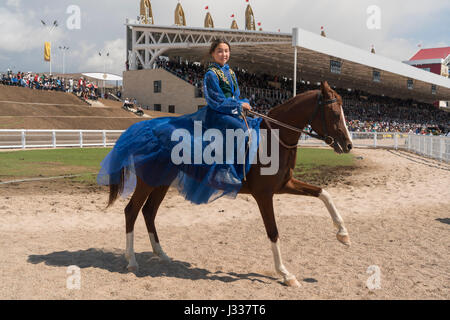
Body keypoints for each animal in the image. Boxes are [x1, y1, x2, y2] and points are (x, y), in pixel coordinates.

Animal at [105, 81, 352, 286]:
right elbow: (273, 231)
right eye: (333, 112)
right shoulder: (264, 195)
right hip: (147, 182)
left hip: (161, 183)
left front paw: (343, 234)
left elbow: (323, 193)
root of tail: (143, 128)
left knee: (149, 212)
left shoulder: (285, 185)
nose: (348, 144)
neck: (273, 139)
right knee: (131, 211)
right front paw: (285, 273)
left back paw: (162, 254)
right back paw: (132, 260)